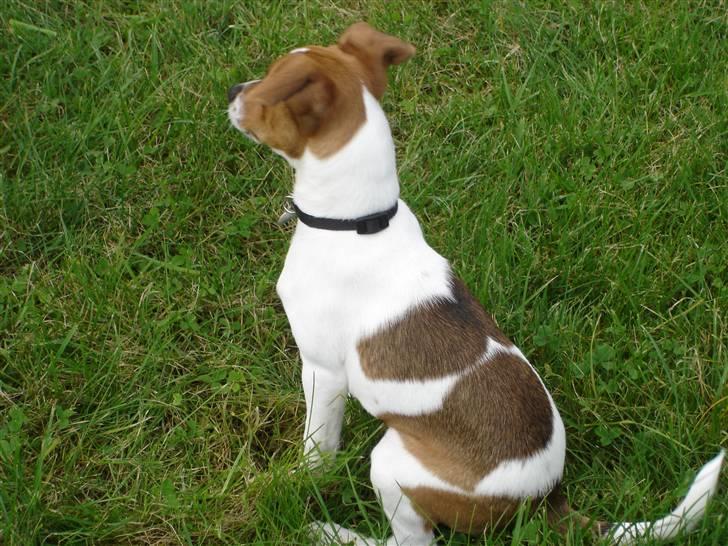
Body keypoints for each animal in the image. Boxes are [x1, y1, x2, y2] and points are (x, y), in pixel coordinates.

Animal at [228, 22, 724, 544]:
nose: (232, 90)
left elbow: (317, 448)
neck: (357, 222)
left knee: (413, 540)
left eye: (268, 85)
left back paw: (334, 533)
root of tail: (545, 499)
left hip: (391, 464)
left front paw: (294, 479)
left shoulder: (323, 371)